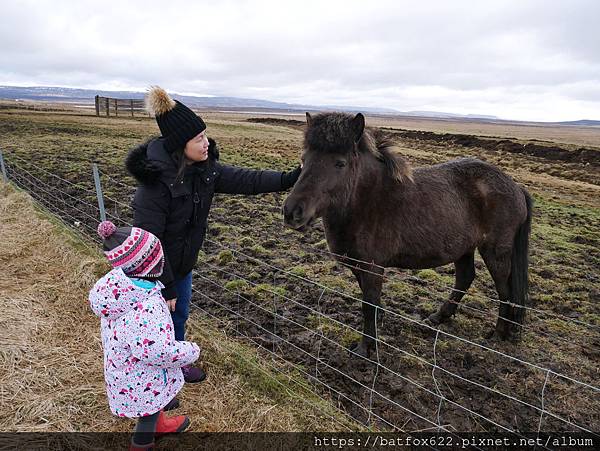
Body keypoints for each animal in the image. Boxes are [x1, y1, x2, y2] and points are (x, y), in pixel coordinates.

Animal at [284, 112, 532, 356]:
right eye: (304, 159)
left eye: (340, 163)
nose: (292, 212)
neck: (368, 199)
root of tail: (516, 186)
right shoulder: (357, 263)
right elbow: (369, 298)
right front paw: (379, 322)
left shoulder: (372, 267)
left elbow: (368, 304)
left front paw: (365, 348)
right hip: (463, 248)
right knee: (465, 278)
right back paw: (439, 317)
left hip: (495, 251)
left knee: (504, 290)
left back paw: (498, 334)